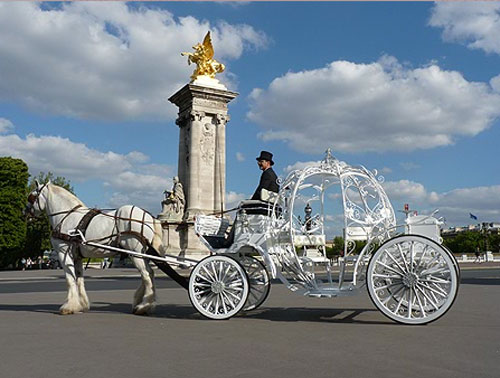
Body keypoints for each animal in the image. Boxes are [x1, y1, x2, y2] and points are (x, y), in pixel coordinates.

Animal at [25, 182, 166, 314]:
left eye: (31, 197)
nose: (24, 213)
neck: (67, 216)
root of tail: (148, 215)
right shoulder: (77, 257)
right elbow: (79, 279)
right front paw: (81, 305)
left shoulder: (63, 253)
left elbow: (70, 279)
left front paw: (69, 306)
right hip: (142, 254)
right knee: (149, 273)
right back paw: (142, 302)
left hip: (135, 253)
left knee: (146, 274)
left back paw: (144, 306)